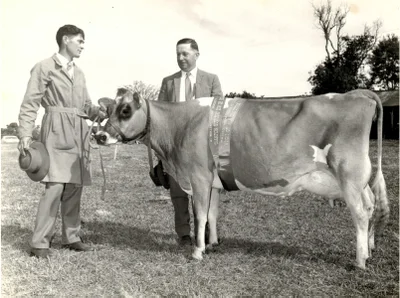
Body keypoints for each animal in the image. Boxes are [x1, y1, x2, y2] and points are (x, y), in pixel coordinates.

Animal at [95, 88, 390, 270]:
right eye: (109, 110)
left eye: (125, 110)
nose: (99, 135)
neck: (180, 125)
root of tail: (357, 94)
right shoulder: (213, 181)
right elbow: (212, 214)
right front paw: (212, 243)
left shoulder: (199, 176)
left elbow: (200, 214)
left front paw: (197, 251)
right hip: (357, 180)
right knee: (371, 206)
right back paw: (370, 249)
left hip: (349, 173)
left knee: (360, 214)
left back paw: (360, 260)